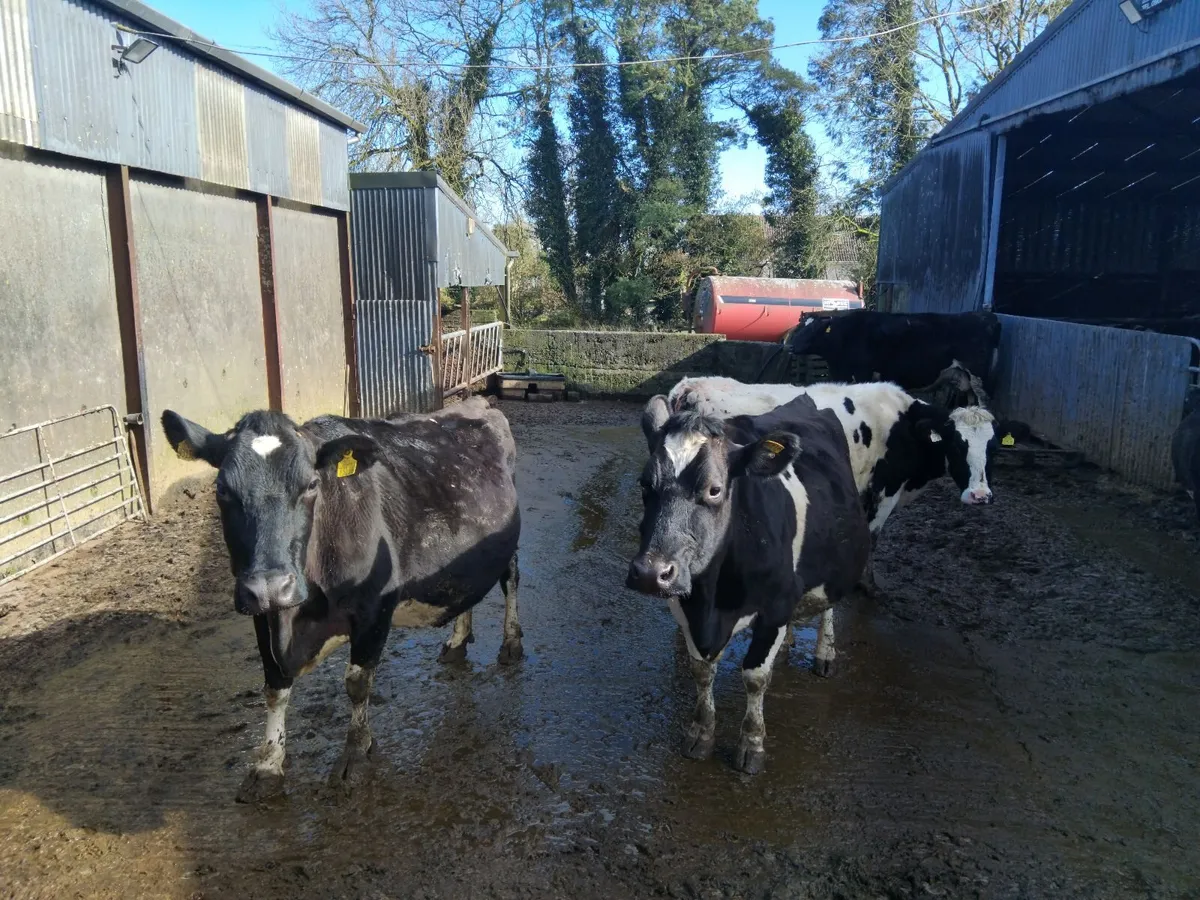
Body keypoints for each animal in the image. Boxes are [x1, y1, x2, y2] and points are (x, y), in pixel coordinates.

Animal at [160, 397, 522, 802]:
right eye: (222, 489)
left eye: (311, 485)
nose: (271, 587)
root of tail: (477, 402)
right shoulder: (261, 615)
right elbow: (274, 687)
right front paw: (268, 765)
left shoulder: (376, 607)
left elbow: (357, 683)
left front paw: (356, 754)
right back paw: (458, 640)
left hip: (506, 543)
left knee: (511, 580)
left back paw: (511, 642)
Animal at [627, 392, 870, 775]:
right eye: (644, 484)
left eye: (715, 490)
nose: (651, 573)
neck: (713, 602)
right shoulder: (684, 606)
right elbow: (701, 670)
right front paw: (701, 733)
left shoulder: (775, 606)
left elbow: (755, 677)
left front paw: (752, 744)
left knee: (829, 605)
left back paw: (825, 653)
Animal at [667, 376, 999, 594]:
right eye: (957, 444)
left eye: (992, 446)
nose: (980, 495)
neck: (904, 424)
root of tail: (692, 386)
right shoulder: (887, 488)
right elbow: (873, 535)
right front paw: (868, 585)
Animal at [788, 310, 1002, 393]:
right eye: (799, 328)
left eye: (812, 330)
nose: (789, 346)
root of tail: (986, 315)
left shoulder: (863, 373)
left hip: (978, 378)